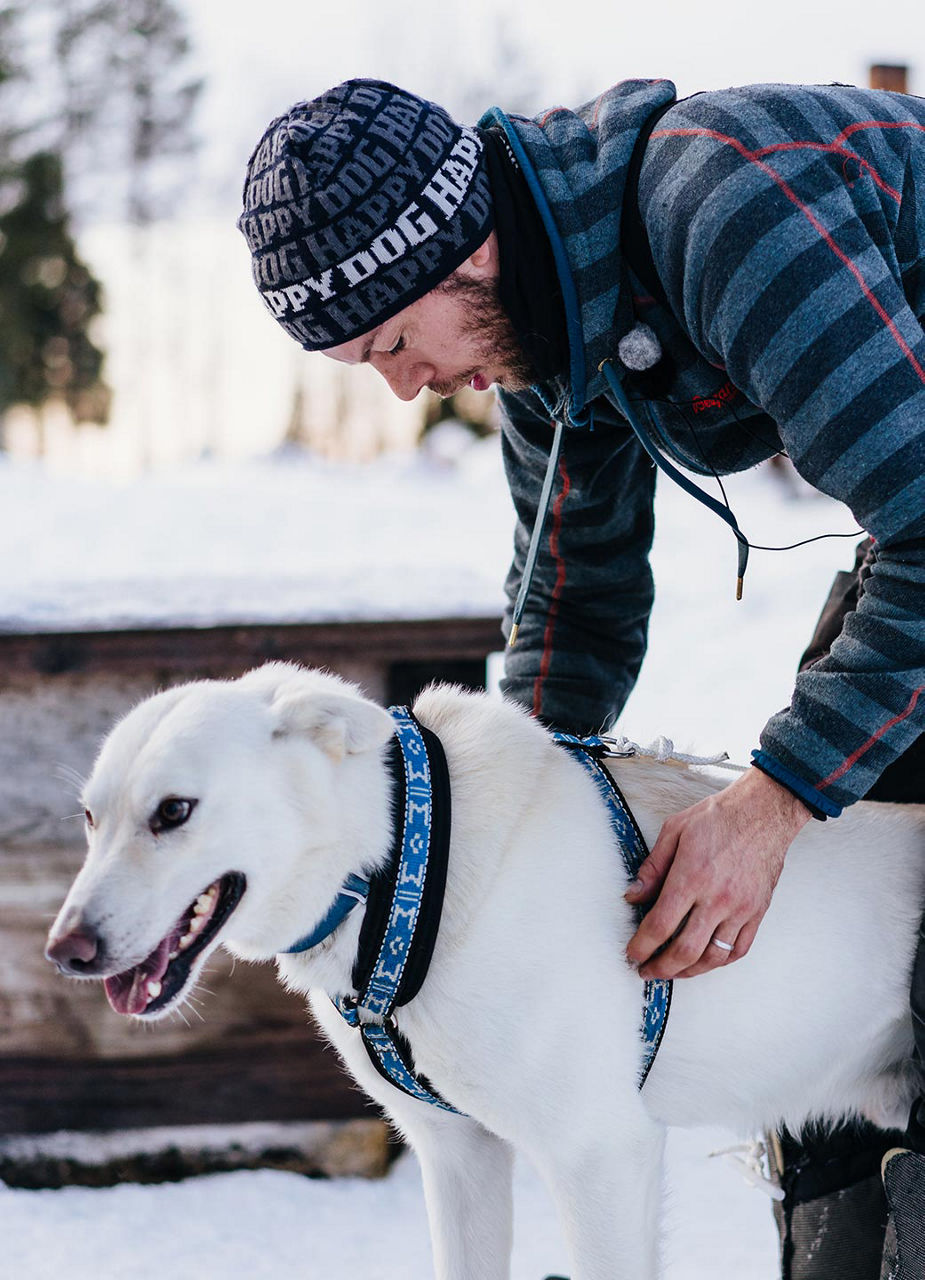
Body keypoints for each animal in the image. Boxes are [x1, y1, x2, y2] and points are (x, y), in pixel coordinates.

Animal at [45, 665, 925, 1274]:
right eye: (90, 817)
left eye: (174, 812)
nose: (65, 951)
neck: (400, 873)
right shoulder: (456, 1155)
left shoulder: (601, 1155)